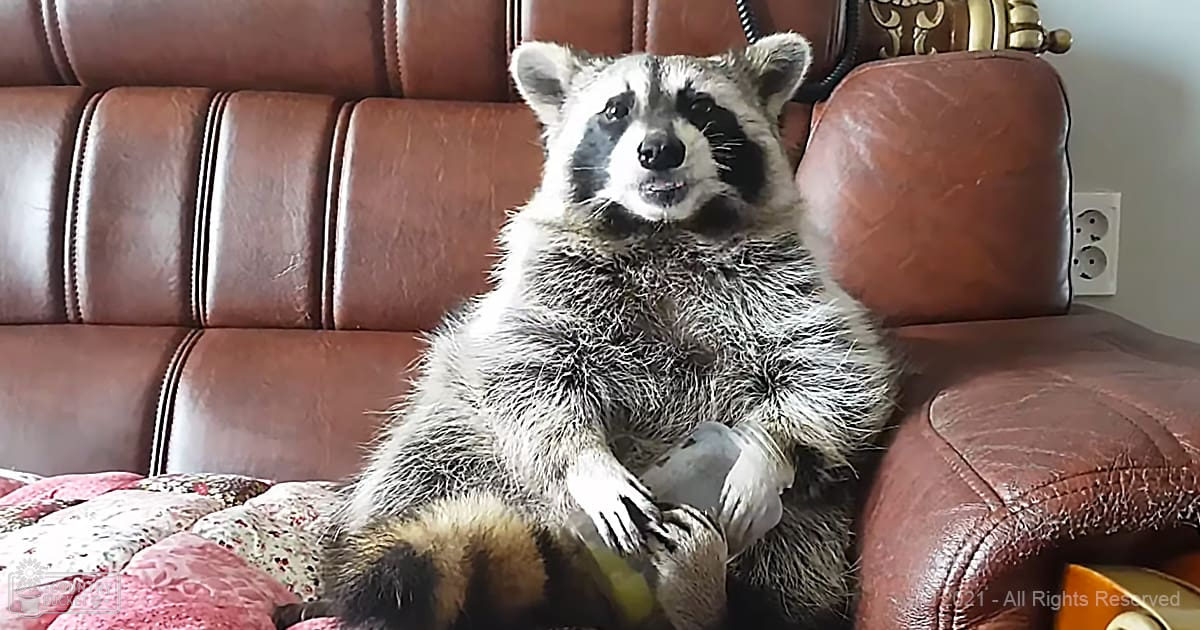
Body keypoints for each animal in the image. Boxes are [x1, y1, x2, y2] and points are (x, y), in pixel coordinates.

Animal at [302, 32, 897, 630]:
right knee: (426, 462)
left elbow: (834, 372)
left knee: (794, 563)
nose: (659, 150)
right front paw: (586, 463)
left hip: (808, 530)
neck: (666, 229)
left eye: (701, 107)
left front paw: (768, 452)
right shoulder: (541, 282)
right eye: (616, 110)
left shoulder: (791, 280)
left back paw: (705, 594)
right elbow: (525, 373)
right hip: (454, 434)